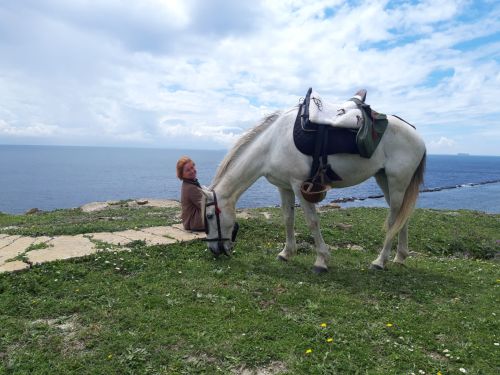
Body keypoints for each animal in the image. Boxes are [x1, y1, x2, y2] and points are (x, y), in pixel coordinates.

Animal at [200, 92, 426, 274]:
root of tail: (416, 134)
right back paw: (399, 257)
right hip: (384, 179)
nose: (214, 250)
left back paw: (380, 261)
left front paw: (321, 261)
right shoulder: (284, 186)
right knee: (402, 217)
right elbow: (288, 218)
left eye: (209, 215)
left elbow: (312, 221)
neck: (273, 143)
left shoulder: (299, 185)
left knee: (393, 219)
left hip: (397, 181)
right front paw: (286, 253)